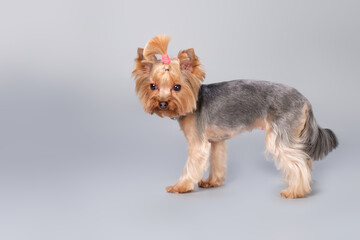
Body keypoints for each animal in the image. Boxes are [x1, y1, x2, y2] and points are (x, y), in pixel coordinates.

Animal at [131, 34, 338, 199]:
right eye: (153, 86)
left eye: (177, 87)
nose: (162, 103)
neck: (193, 102)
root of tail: (305, 100)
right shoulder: (215, 141)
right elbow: (217, 161)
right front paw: (212, 181)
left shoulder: (198, 143)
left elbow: (191, 166)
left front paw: (180, 186)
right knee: (305, 158)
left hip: (281, 133)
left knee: (298, 161)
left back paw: (296, 191)